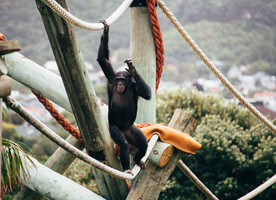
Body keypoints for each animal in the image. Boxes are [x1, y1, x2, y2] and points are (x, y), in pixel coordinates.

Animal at [97, 20, 152, 173]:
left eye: (123, 79)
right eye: (118, 79)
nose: (120, 83)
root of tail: (125, 130)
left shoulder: (135, 87)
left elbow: (147, 94)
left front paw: (133, 70)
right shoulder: (111, 77)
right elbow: (103, 60)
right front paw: (106, 31)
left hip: (132, 129)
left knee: (143, 144)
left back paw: (137, 160)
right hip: (115, 130)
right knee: (125, 144)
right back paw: (127, 168)